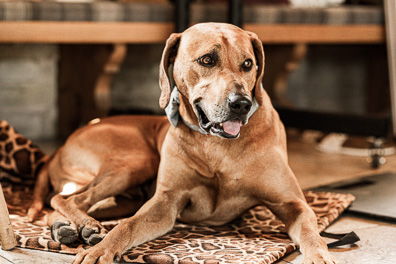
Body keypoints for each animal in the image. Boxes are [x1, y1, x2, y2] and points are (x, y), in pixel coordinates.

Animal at [18, 22, 338, 264]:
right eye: (207, 59)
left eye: (248, 64)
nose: (241, 104)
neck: (215, 145)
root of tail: (63, 144)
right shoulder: (165, 202)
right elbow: (127, 225)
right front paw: (100, 251)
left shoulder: (292, 203)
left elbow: (311, 231)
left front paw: (320, 256)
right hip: (135, 161)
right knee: (66, 198)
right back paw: (83, 229)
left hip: (127, 191)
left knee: (64, 204)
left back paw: (68, 229)